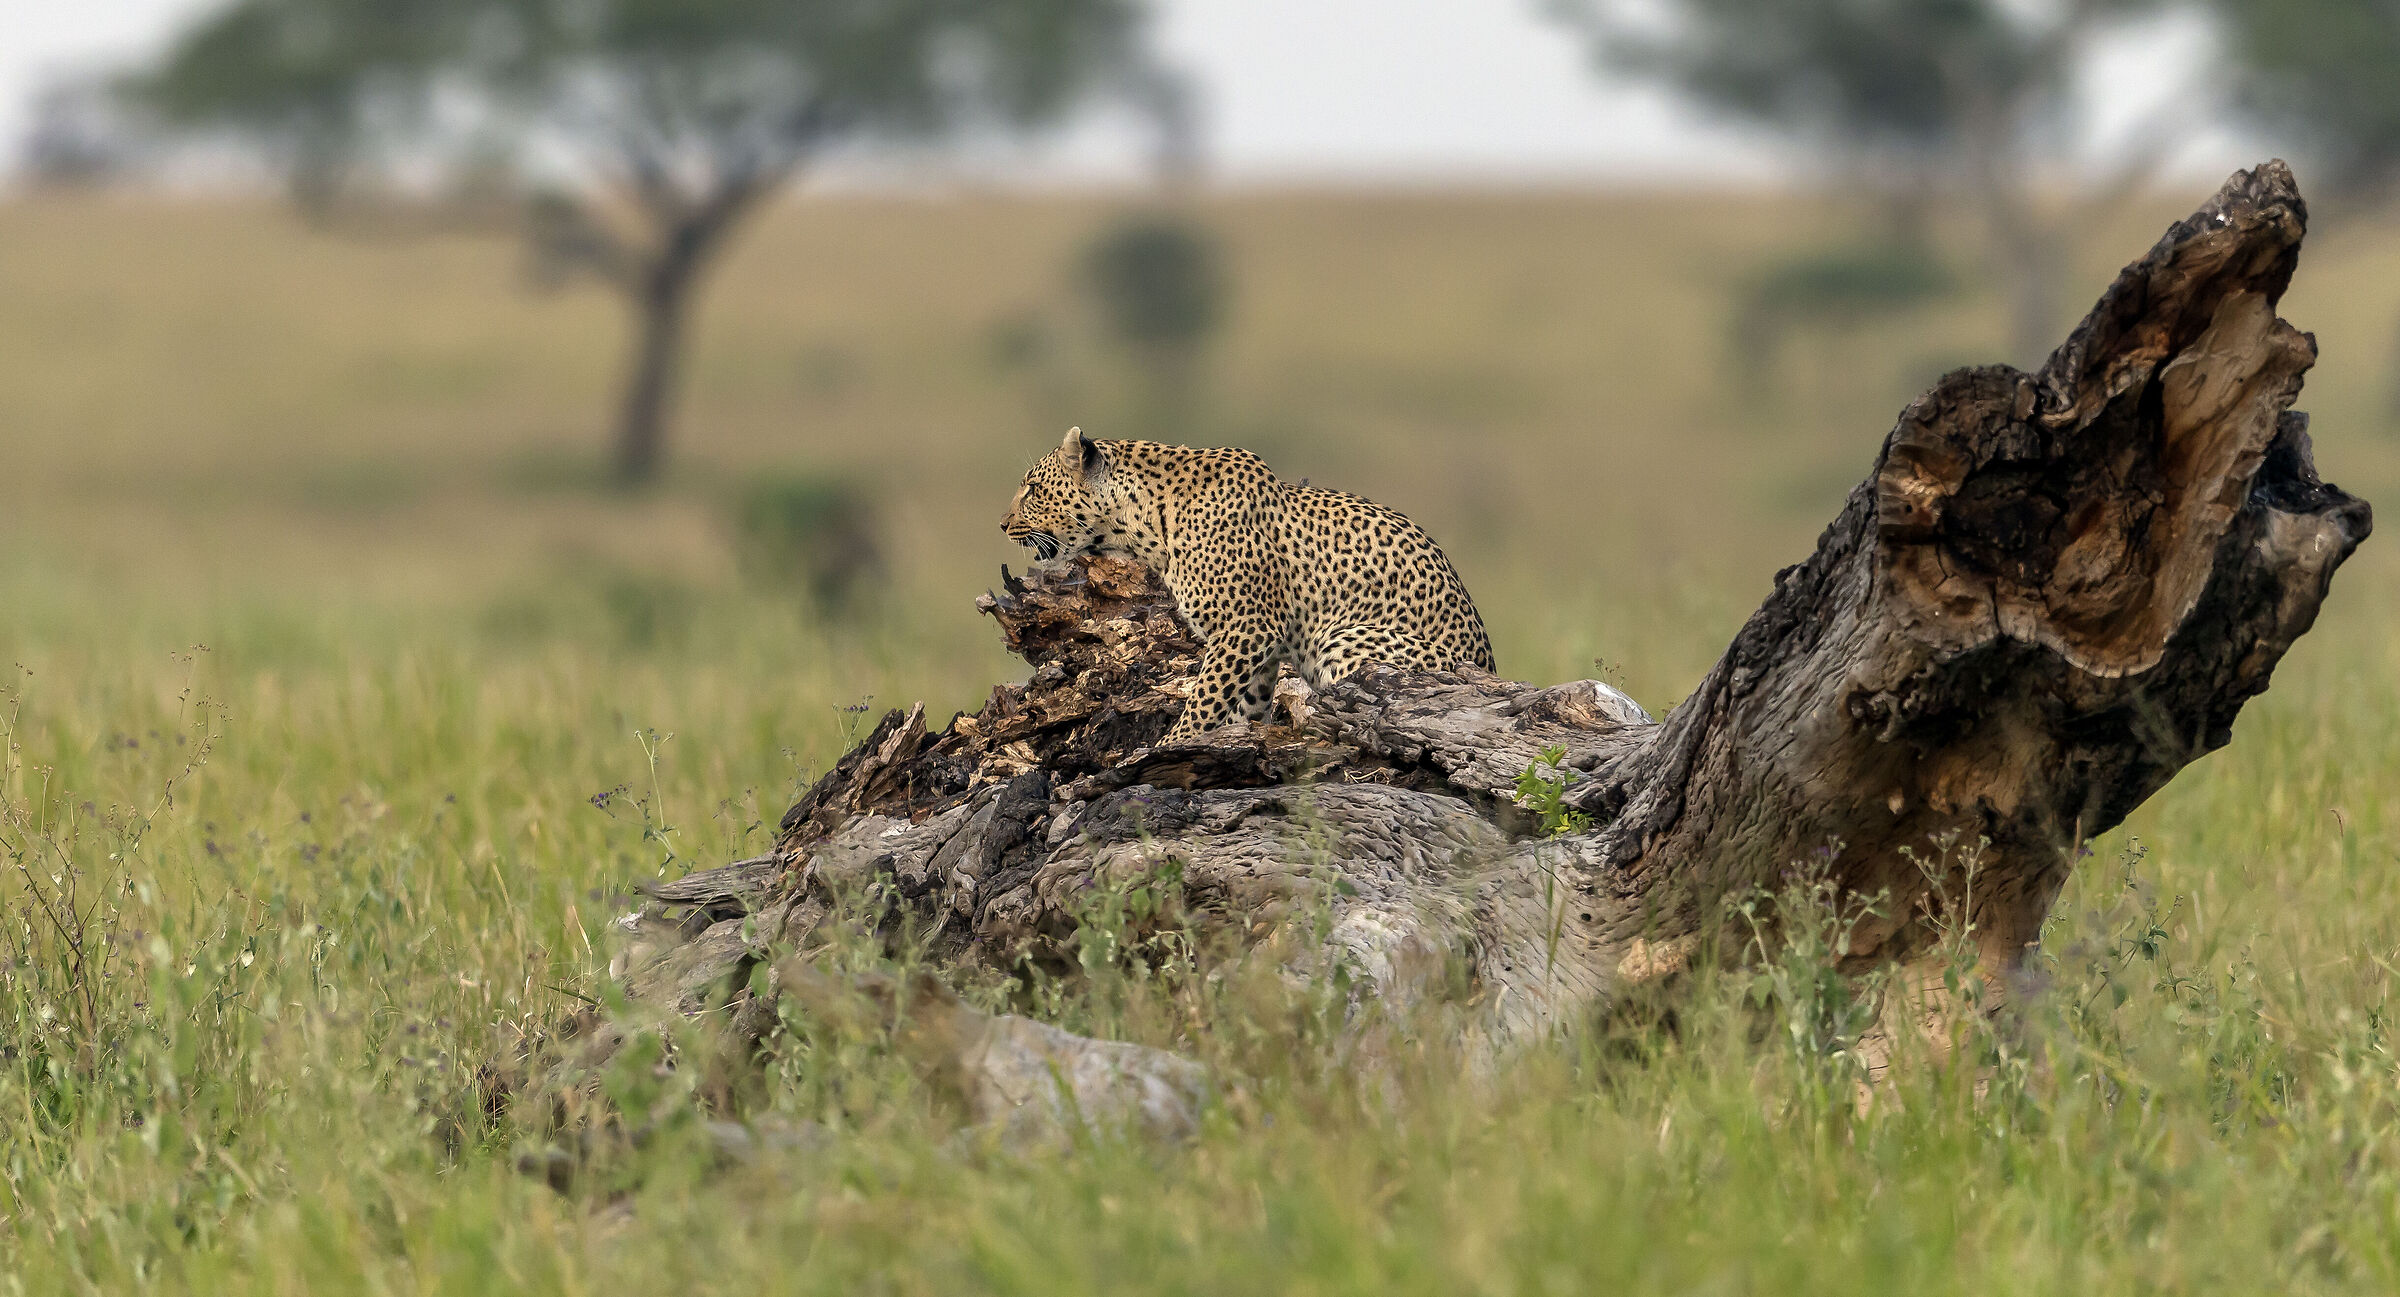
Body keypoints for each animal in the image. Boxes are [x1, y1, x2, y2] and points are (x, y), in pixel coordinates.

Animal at [1002, 427, 1495, 741]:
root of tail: (1490, 668)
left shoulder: (1248, 626)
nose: (1002, 523)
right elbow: (1242, 701)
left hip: (1343, 639)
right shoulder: (1259, 645)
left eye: (1032, 489)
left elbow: (1204, 699)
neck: (1142, 525)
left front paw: (1170, 745)